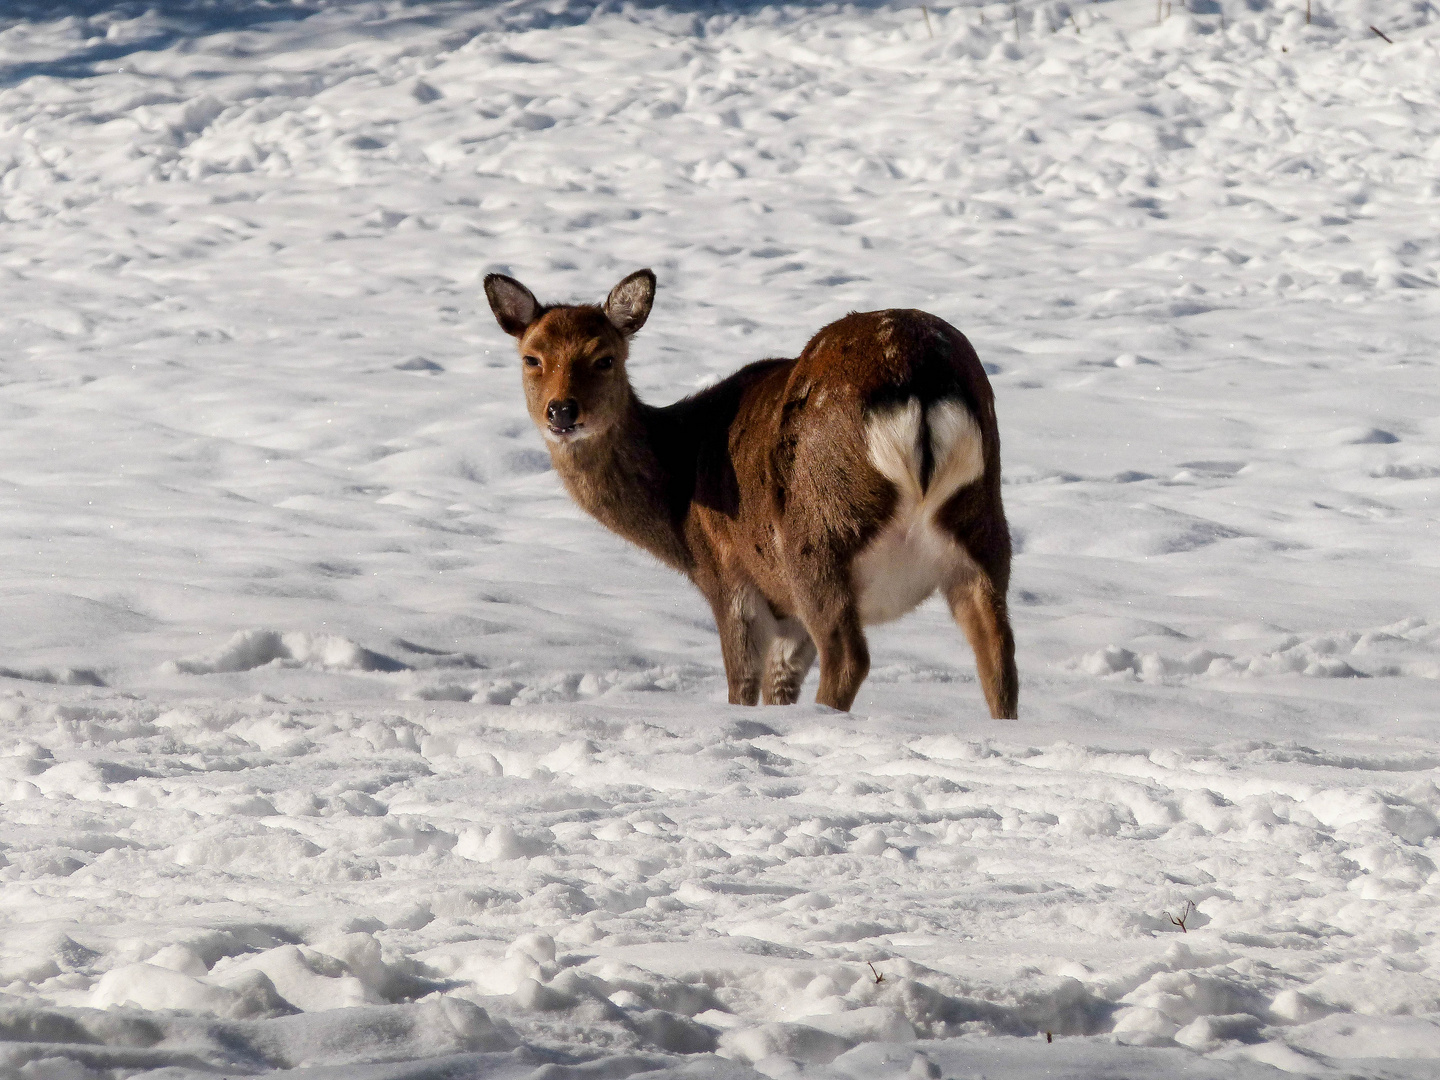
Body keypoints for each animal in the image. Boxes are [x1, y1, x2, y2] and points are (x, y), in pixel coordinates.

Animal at [489, 270, 1019, 720]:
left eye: (605, 359)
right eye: (532, 358)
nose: (562, 410)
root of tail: (919, 379)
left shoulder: (729, 574)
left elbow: (742, 685)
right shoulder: (788, 616)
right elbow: (779, 687)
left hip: (818, 538)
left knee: (849, 657)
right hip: (983, 529)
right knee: (1000, 652)